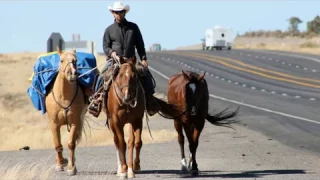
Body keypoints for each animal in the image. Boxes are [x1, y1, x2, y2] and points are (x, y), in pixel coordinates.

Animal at [45, 46, 87, 176]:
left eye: (75, 61)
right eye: (62, 60)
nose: (72, 74)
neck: (63, 97)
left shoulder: (75, 122)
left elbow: (71, 144)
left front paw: (71, 167)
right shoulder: (54, 124)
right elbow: (58, 145)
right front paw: (60, 164)